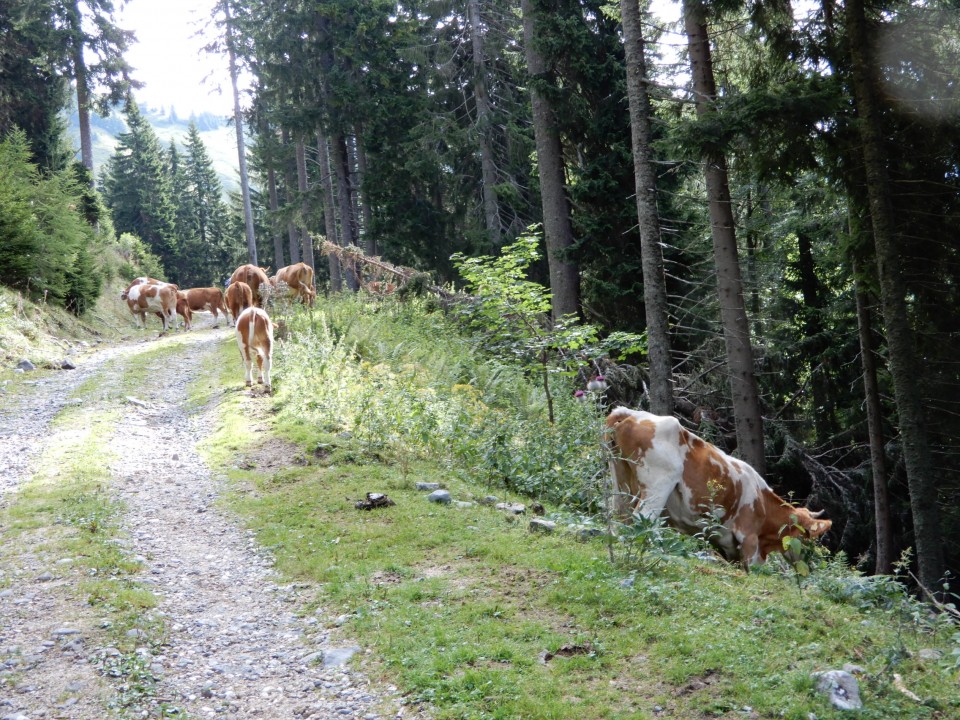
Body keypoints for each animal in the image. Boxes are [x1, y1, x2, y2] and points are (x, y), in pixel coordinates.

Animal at [604, 408, 828, 564]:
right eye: (807, 538)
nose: (809, 565)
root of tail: (633, 413)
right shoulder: (749, 538)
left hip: (620, 483)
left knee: (619, 518)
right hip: (658, 486)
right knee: (641, 518)